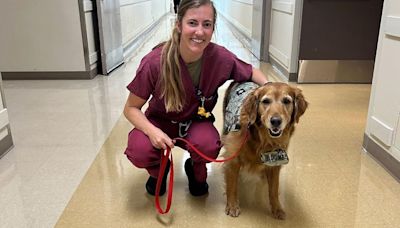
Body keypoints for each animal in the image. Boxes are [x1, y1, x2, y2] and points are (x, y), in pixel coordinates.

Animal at [220, 81, 308, 219]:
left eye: (286, 101)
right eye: (266, 101)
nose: (276, 121)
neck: (264, 140)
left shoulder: (275, 164)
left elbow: (274, 190)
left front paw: (277, 208)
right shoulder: (233, 158)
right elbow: (232, 185)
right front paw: (232, 206)